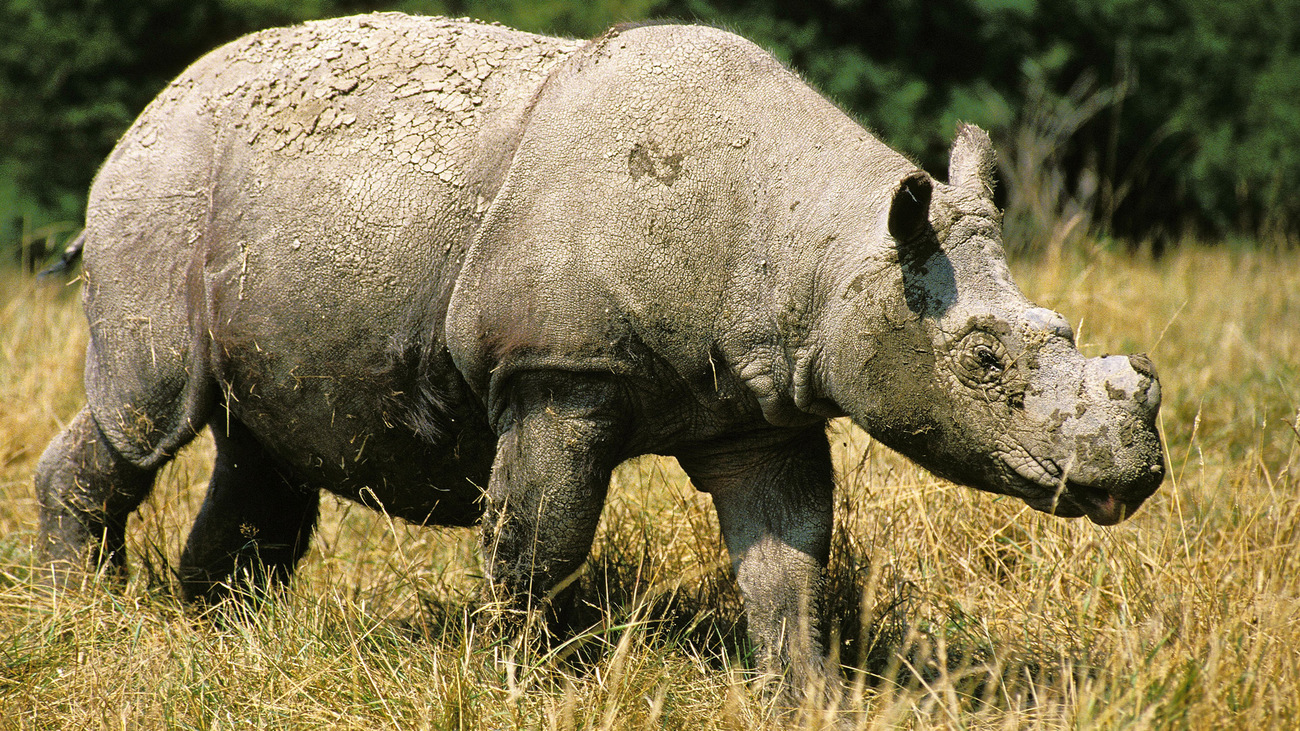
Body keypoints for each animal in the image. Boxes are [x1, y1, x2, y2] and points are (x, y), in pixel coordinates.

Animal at [35, 14, 1164, 686]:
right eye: (982, 364)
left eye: (1064, 337)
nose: (1134, 471)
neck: (825, 244)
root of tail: (146, 113)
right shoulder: (560, 371)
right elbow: (539, 539)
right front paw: (509, 677)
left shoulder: (764, 399)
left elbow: (786, 555)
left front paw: (806, 691)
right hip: (160, 189)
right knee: (149, 413)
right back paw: (77, 608)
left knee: (263, 441)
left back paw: (222, 635)